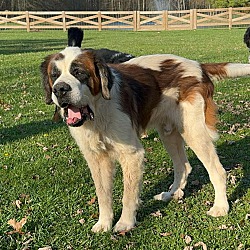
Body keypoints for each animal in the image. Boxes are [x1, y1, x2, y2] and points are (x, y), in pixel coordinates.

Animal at [40, 39, 250, 232]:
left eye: (79, 72)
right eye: (54, 75)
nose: (60, 89)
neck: (99, 110)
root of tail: (198, 65)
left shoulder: (131, 155)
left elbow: (128, 195)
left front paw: (125, 223)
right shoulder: (96, 158)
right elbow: (103, 194)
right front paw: (104, 223)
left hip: (194, 131)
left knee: (217, 171)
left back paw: (221, 206)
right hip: (169, 133)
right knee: (183, 166)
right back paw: (172, 194)